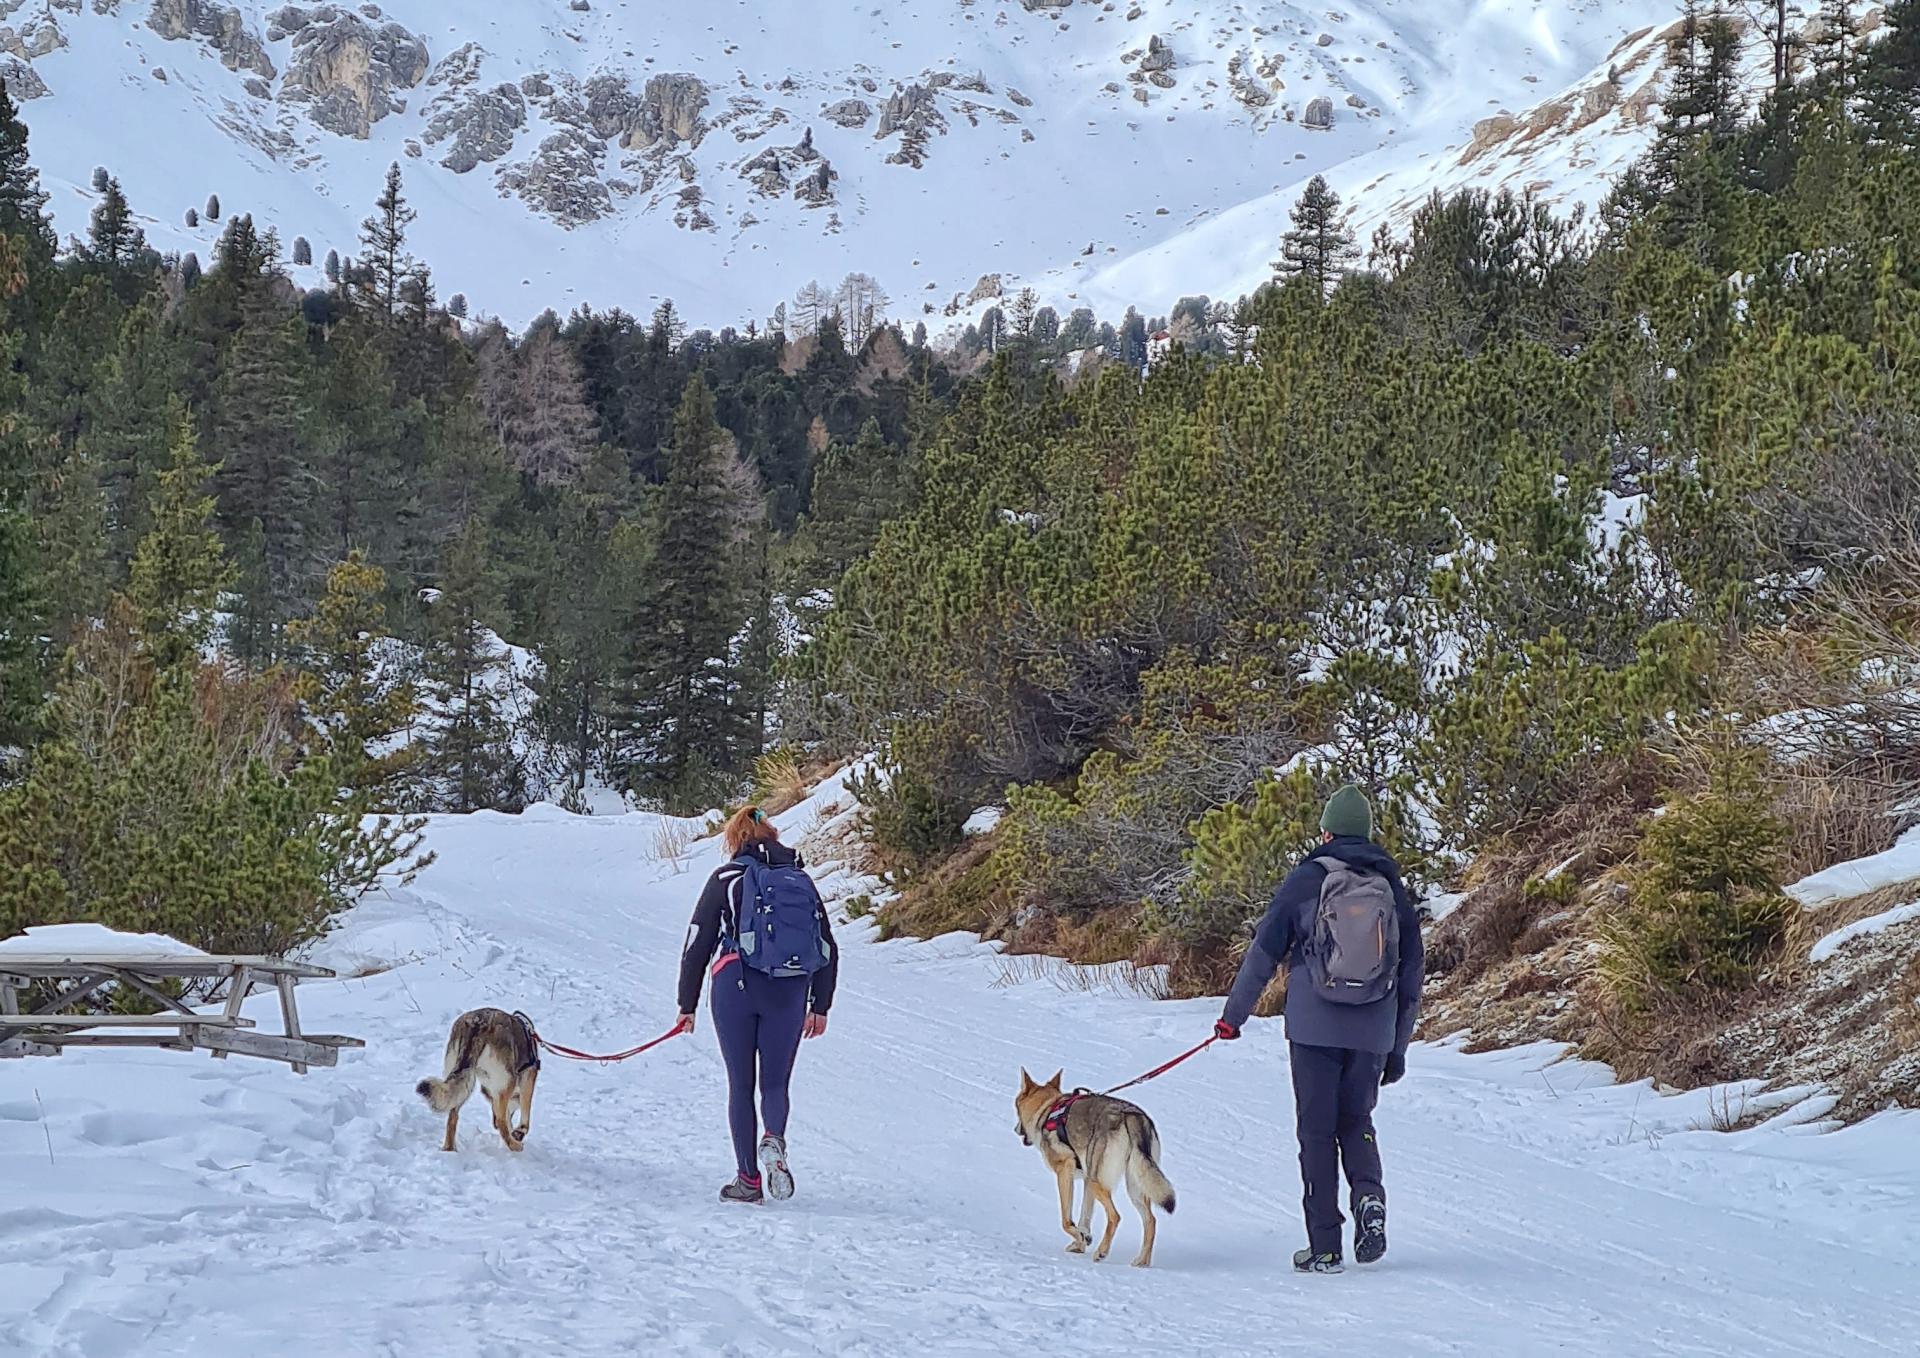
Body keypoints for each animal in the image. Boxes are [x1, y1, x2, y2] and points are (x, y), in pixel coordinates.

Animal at [416, 1006, 541, 1152]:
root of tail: (477, 1023)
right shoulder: (528, 1078)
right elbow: (523, 1112)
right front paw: (519, 1132)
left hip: (462, 1079)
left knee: (453, 1115)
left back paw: (449, 1149)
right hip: (507, 1081)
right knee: (500, 1120)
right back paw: (514, 1145)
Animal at [1013, 1075, 1175, 1267]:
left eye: (1016, 1108)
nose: (1015, 1129)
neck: (1047, 1111)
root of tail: (1131, 1115)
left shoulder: (1065, 1170)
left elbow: (1066, 1220)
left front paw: (1081, 1237)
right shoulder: (1085, 1180)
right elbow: (1084, 1216)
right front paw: (1081, 1242)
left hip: (1097, 1180)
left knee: (1115, 1216)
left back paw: (1101, 1252)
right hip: (1133, 1184)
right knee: (1151, 1220)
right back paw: (1142, 1261)